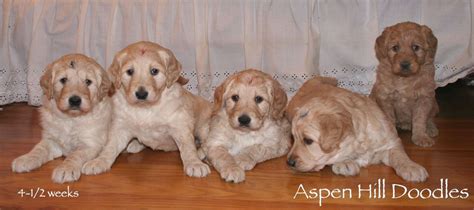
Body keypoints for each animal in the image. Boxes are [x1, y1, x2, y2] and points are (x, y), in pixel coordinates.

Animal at [11, 53, 112, 183]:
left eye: (88, 81)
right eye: (63, 80)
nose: (75, 100)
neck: (71, 119)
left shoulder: (91, 144)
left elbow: (75, 155)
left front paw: (66, 169)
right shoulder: (51, 139)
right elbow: (39, 149)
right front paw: (26, 159)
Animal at [81, 41, 211, 177]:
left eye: (154, 71)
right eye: (130, 71)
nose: (141, 94)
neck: (145, 108)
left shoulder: (180, 124)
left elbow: (188, 147)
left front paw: (194, 163)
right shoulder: (121, 127)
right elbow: (110, 146)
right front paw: (99, 161)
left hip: (204, 127)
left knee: (206, 142)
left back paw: (200, 154)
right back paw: (135, 144)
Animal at [286, 76, 430, 182]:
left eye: (308, 140)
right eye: (293, 139)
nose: (289, 163)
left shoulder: (390, 142)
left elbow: (400, 156)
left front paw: (412, 167)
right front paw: (345, 163)